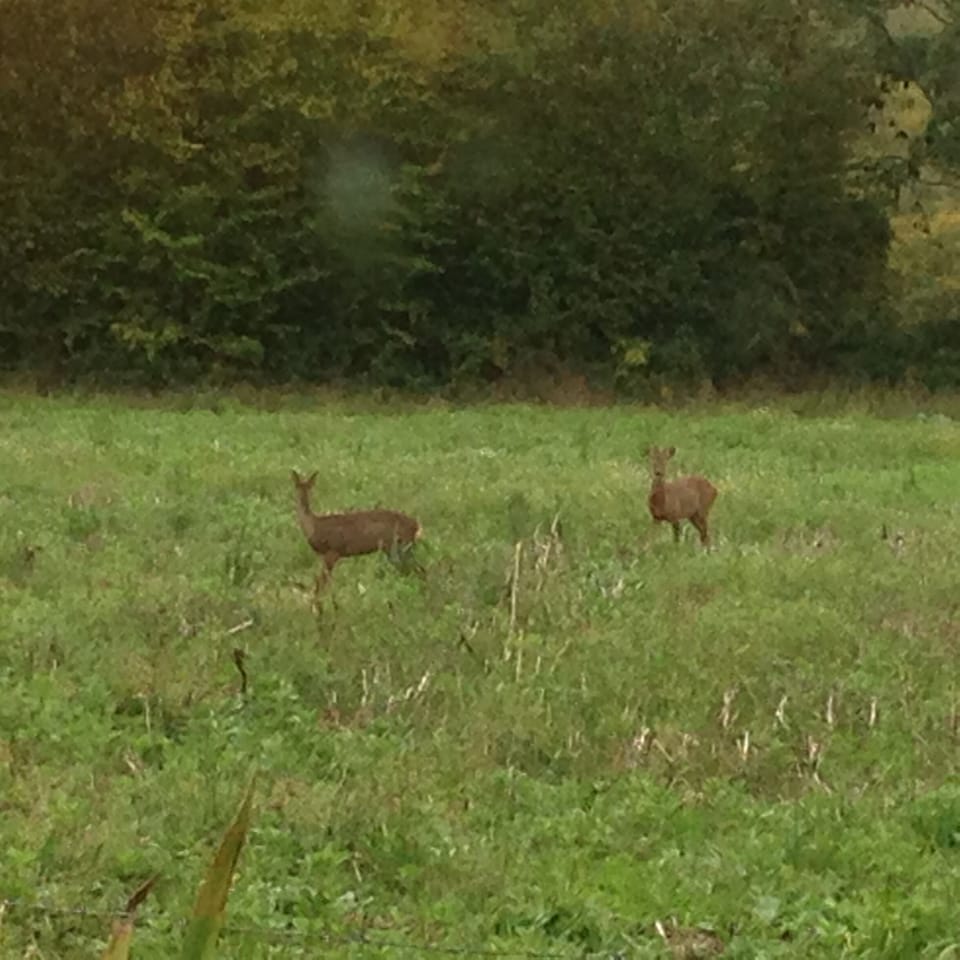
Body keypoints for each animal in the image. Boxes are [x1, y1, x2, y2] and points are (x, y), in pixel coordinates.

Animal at [291, 469, 423, 595]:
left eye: (308, 488)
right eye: (298, 487)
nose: (302, 500)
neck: (314, 525)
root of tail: (416, 525)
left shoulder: (333, 551)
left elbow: (321, 584)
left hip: (398, 547)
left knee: (418, 570)